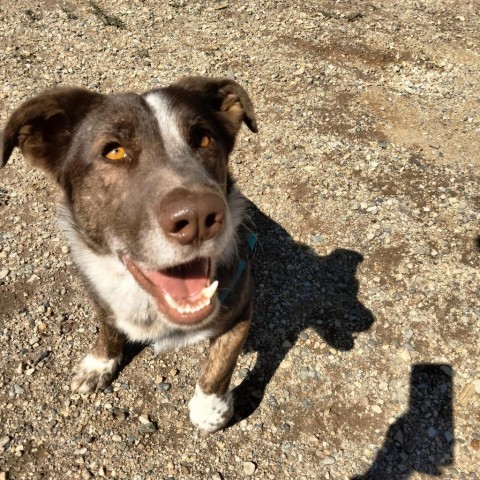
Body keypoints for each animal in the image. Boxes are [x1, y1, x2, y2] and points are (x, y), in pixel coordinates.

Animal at [0, 77, 258, 434]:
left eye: (204, 139)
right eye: (114, 151)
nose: (198, 217)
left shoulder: (241, 306)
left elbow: (220, 366)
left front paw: (210, 409)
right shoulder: (98, 293)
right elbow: (108, 328)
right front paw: (99, 364)